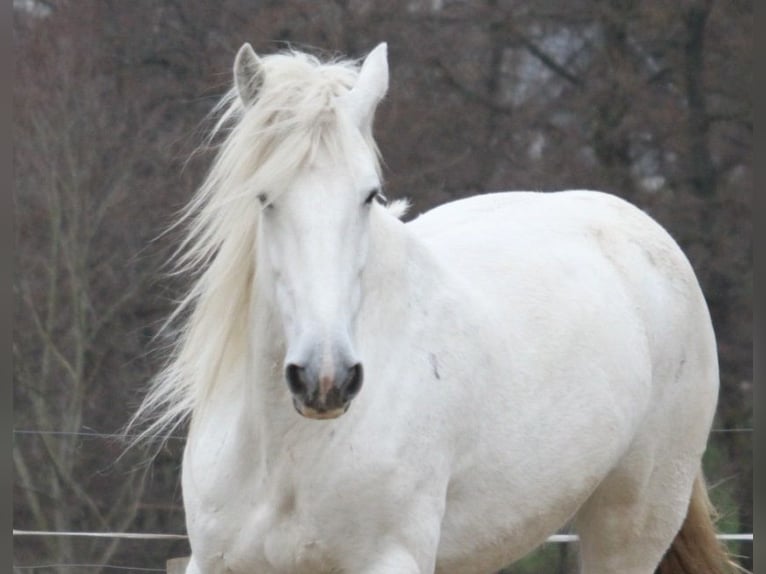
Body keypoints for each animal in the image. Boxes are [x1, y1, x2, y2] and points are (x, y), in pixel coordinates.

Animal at [135, 42, 740, 572]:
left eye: (369, 195)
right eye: (264, 197)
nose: (326, 379)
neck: (286, 452)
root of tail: (639, 228)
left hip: (632, 522)